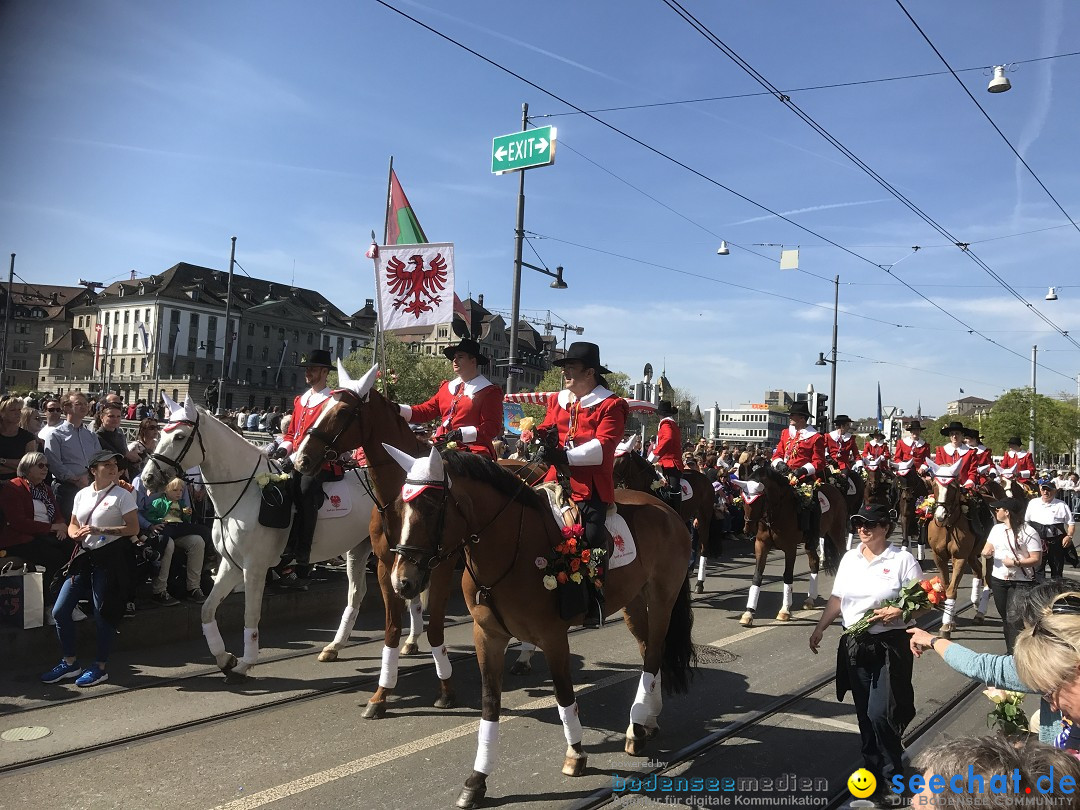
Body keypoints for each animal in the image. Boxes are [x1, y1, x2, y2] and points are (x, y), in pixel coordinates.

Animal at [141, 393, 382, 678]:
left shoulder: (254, 567)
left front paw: (245, 663)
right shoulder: (231, 564)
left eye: (179, 436)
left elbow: (251, 615)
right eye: (160, 434)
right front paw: (224, 658)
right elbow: (207, 609)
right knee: (357, 593)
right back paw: (335, 647)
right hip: (358, 549)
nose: (147, 477)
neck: (245, 492)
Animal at [295, 365, 460, 721]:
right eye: (321, 406)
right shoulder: (388, 568)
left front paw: (445, 689)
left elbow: (437, 628)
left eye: (343, 411)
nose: (300, 459)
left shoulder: (442, 568)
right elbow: (391, 629)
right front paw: (381, 694)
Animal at [384, 447, 695, 807]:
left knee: (654, 653)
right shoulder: (487, 636)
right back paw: (646, 720)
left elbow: (563, 694)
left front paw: (575, 753)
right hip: (633, 602)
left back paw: (638, 727)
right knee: (648, 652)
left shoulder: (553, 637)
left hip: (661, 599)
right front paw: (477, 779)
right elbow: (490, 703)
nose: (401, 582)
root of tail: (666, 509)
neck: (510, 550)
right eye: (398, 507)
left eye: (432, 507)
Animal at [738, 462, 846, 626]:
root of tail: (835, 489)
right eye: (744, 499)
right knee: (814, 562)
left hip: (837, 532)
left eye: (759, 499)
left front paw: (784, 610)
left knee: (843, 556)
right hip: (810, 541)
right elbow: (757, 576)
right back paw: (810, 599)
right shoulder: (761, 545)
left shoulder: (790, 548)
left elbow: (788, 576)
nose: (747, 529)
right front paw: (749, 613)